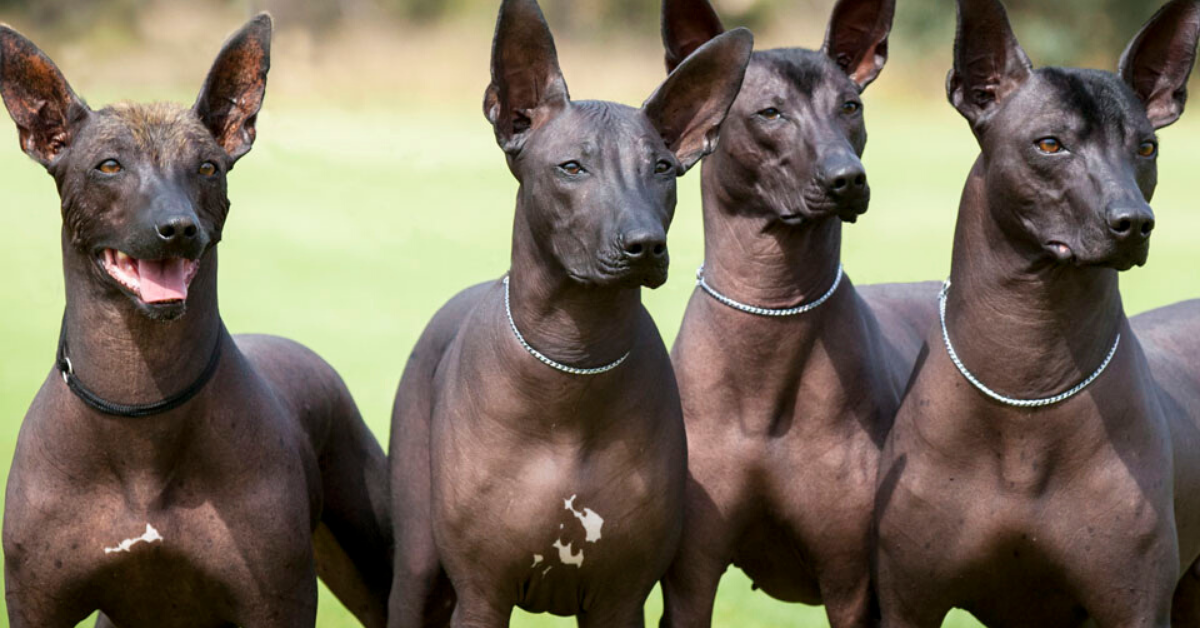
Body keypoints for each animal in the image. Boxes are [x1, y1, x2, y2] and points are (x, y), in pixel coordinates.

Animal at [0, 15, 391, 628]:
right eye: (109, 166)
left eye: (207, 167)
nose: (177, 227)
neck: (140, 412)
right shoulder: (37, 604)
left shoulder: (277, 601)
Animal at [388, 1, 748, 628]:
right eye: (572, 167)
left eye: (661, 168)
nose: (645, 245)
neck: (572, 362)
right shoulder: (482, 595)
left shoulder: (619, 599)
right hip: (415, 566)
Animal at [662, 1, 940, 628]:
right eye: (770, 112)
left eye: (851, 106)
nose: (848, 179)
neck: (770, 308)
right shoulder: (689, 581)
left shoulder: (852, 587)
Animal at [873, 0, 1200, 624]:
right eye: (1050, 145)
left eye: (1146, 148)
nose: (1135, 223)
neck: (1028, 375)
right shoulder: (906, 603)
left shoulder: (1136, 606)